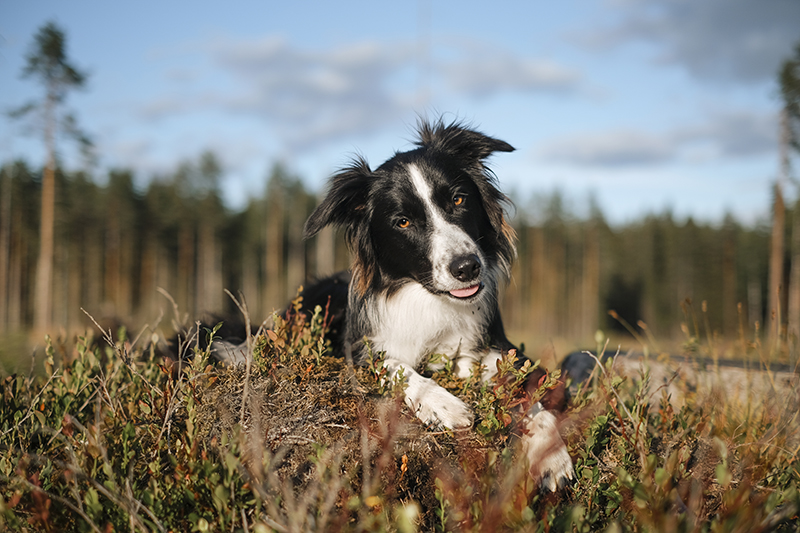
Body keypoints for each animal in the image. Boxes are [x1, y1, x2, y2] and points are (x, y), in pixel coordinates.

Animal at [296, 118, 572, 488]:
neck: (431, 302)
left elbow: (523, 387)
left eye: (458, 199)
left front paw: (550, 453)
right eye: (403, 221)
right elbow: (396, 366)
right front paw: (443, 404)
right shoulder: (358, 350)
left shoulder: (493, 349)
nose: (467, 267)